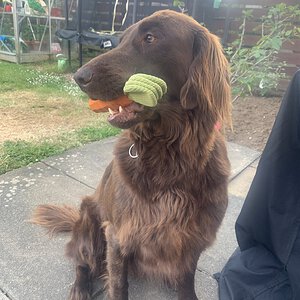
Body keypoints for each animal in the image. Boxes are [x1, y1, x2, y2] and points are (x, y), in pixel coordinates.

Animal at [31, 9, 232, 300]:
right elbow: (118, 283)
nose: (79, 76)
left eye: (150, 38)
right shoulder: (118, 235)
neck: (169, 152)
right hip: (90, 222)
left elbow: (186, 279)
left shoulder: (192, 237)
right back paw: (80, 288)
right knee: (82, 262)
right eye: (119, 40)